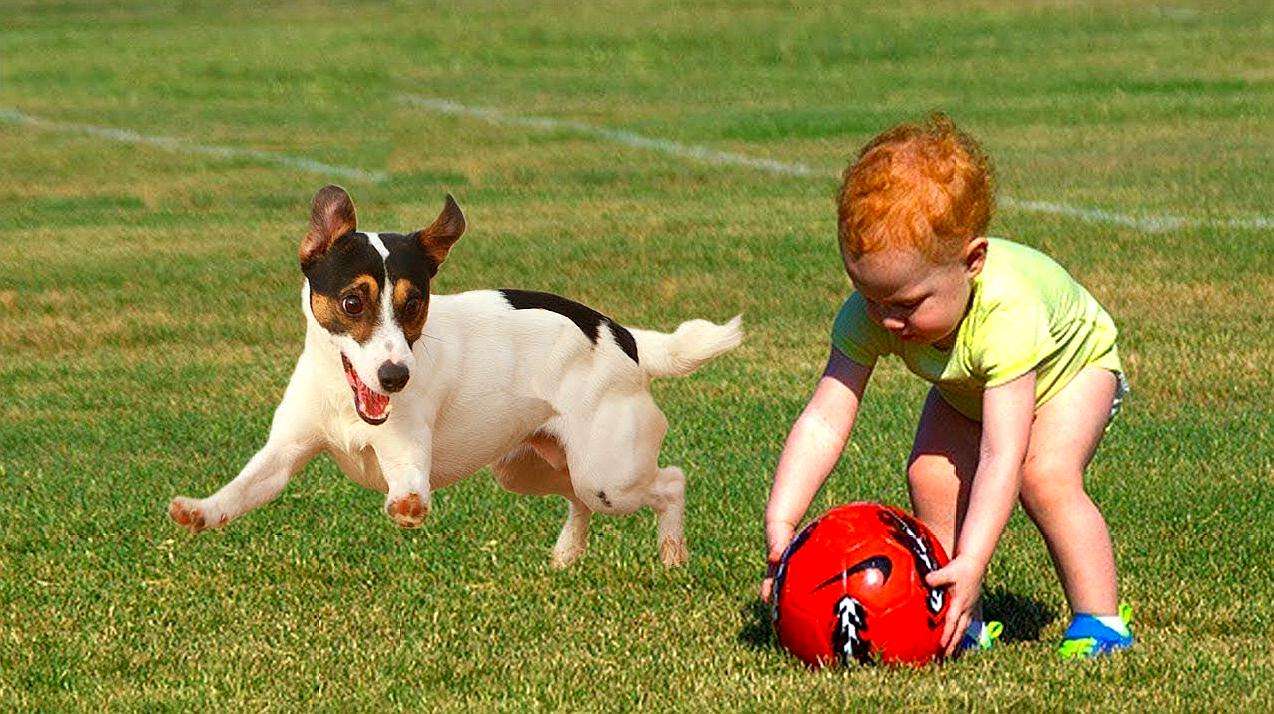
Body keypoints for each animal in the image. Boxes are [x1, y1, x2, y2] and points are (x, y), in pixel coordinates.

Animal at [170, 187, 744, 566]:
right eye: (353, 302)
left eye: (414, 304)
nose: (396, 376)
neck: (345, 395)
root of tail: (627, 338)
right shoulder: (283, 455)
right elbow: (240, 491)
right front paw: (200, 511)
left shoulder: (406, 454)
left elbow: (409, 489)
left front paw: (406, 508)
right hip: (533, 467)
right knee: (578, 498)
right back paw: (566, 556)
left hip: (610, 473)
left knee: (671, 482)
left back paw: (672, 557)